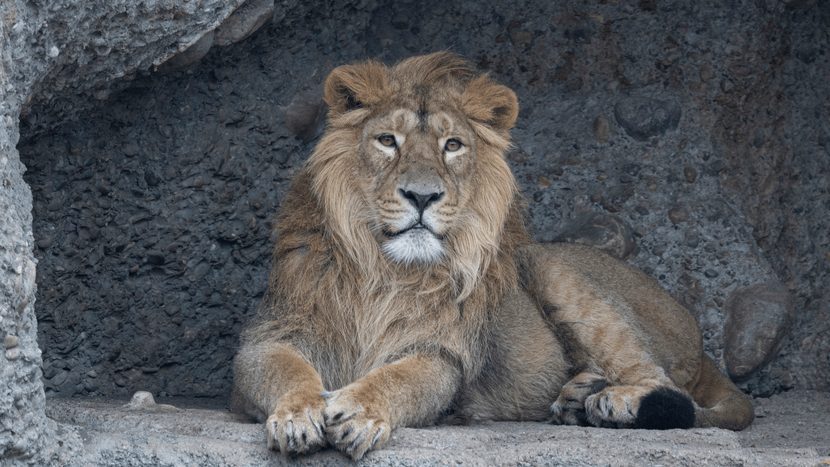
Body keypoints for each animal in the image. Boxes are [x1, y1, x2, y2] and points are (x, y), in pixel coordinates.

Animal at [232, 52, 755, 460]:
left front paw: (360, 412)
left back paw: (612, 401)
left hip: (554, 270)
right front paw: (297, 415)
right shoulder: (270, 334)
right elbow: (286, 370)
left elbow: (399, 380)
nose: (422, 196)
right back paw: (579, 397)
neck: (386, 268)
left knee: (664, 384)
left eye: (452, 145)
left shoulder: (443, 354)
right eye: (387, 140)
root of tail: (701, 344)